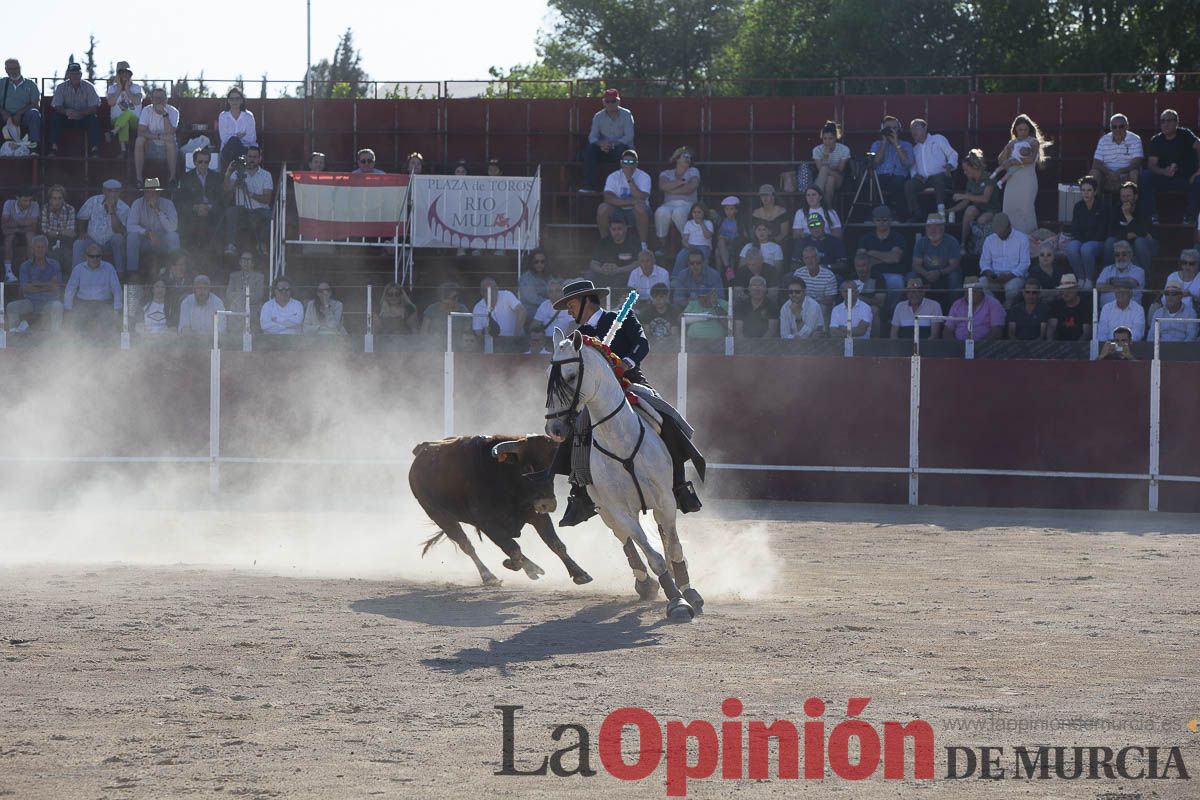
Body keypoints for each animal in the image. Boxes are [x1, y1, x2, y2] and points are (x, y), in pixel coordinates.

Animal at [410, 434, 592, 585]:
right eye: (527, 468)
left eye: (552, 468)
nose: (547, 503)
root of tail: (422, 450)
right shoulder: (487, 524)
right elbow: (513, 549)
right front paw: (513, 564)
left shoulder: (536, 514)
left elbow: (556, 544)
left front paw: (580, 574)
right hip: (440, 517)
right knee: (466, 545)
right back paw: (489, 576)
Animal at [544, 328, 700, 623]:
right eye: (549, 375)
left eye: (570, 376)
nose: (554, 428)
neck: (619, 439)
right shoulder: (619, 509)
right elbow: (650, 554)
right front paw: (676, 601)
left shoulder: (665, 501)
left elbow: (673, 547)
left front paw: (688, 591)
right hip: (604, 508)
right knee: (625, 540)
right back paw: (645, 583)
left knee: (663, 536)